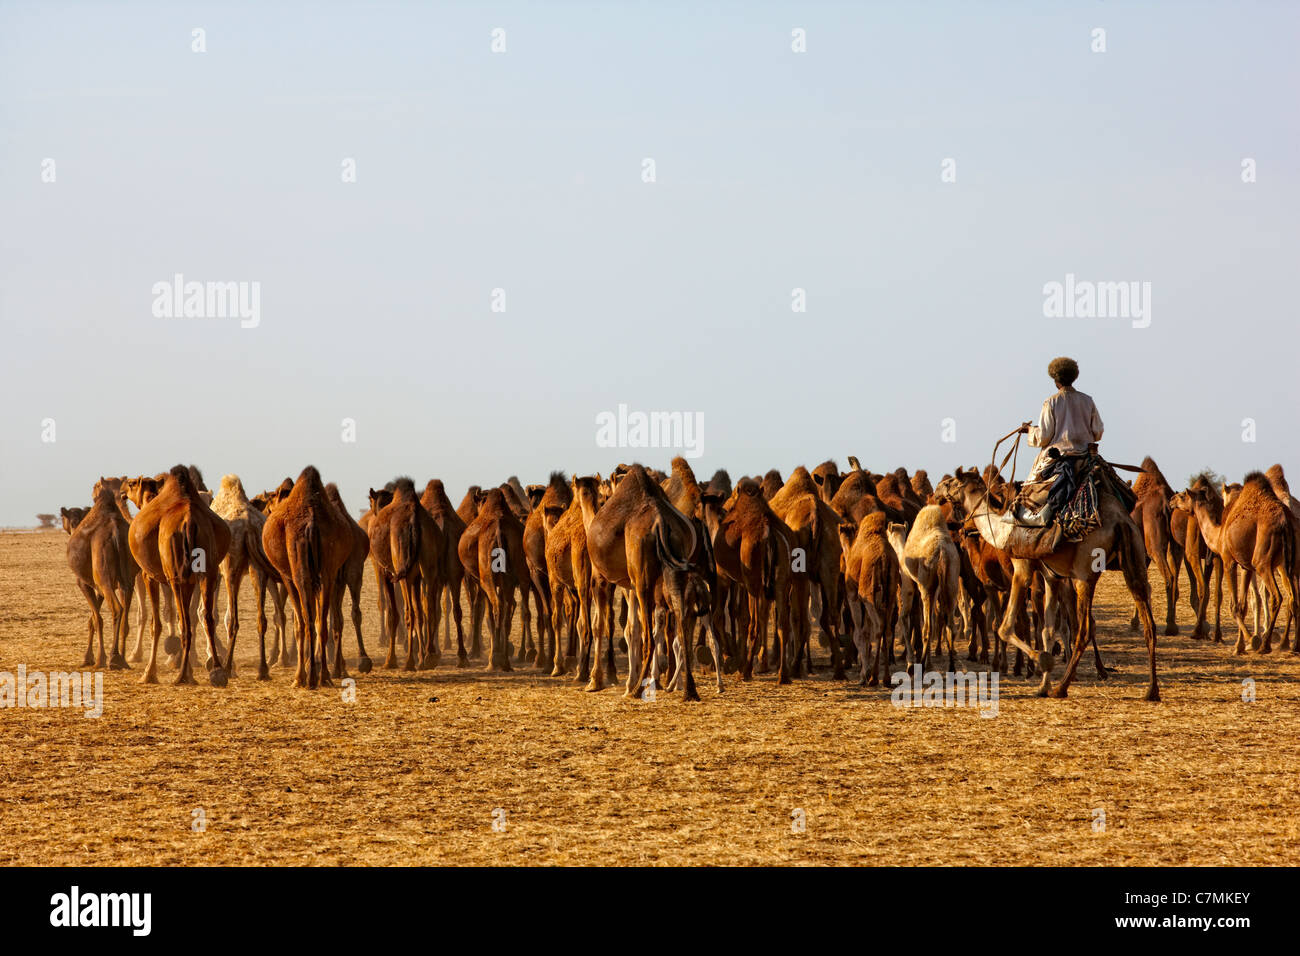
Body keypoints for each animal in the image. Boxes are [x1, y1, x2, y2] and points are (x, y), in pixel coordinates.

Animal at [65, 481, 137, 671]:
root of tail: (115, 532)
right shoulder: (100, 587)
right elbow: (93, 619)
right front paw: (89, 657)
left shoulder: (84, 582)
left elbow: (96, 619)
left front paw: (94, 659)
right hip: (128, 579)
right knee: (125, 616)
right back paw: (123, 659)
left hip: (103, 576)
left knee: (117, 609)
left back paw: (113, 658)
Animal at [129, 465, 231, 686]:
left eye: (132, 484)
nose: (124, 490)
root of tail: (189, 520)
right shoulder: (192, 579)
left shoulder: (150, 576)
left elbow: (157, 623)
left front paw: (149, 673)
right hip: (207, 572)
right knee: (206, 617)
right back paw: (217, 671)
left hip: (176, 576)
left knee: (184, 621)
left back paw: (183, 675)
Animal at [261, 465, 353, 686]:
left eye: (270, 500)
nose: (265, 509)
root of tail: (311, 522)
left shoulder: (286, 576)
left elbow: (297, 622)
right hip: (328, 570)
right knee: (320, 621)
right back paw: (323, 676)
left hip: (298, 567)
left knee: (305, 621)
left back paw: (303, 677)